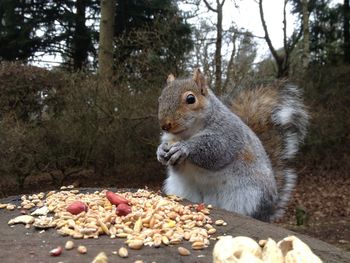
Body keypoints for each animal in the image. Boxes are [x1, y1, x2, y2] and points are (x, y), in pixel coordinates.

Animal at [157, 68, 308, 223]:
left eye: (191, 99)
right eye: (160, 98)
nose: (165, 125)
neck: (188, 134)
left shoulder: (229, 135)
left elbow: (216, 151)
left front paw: (184, 148)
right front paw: (161, 151)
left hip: (248, 197)